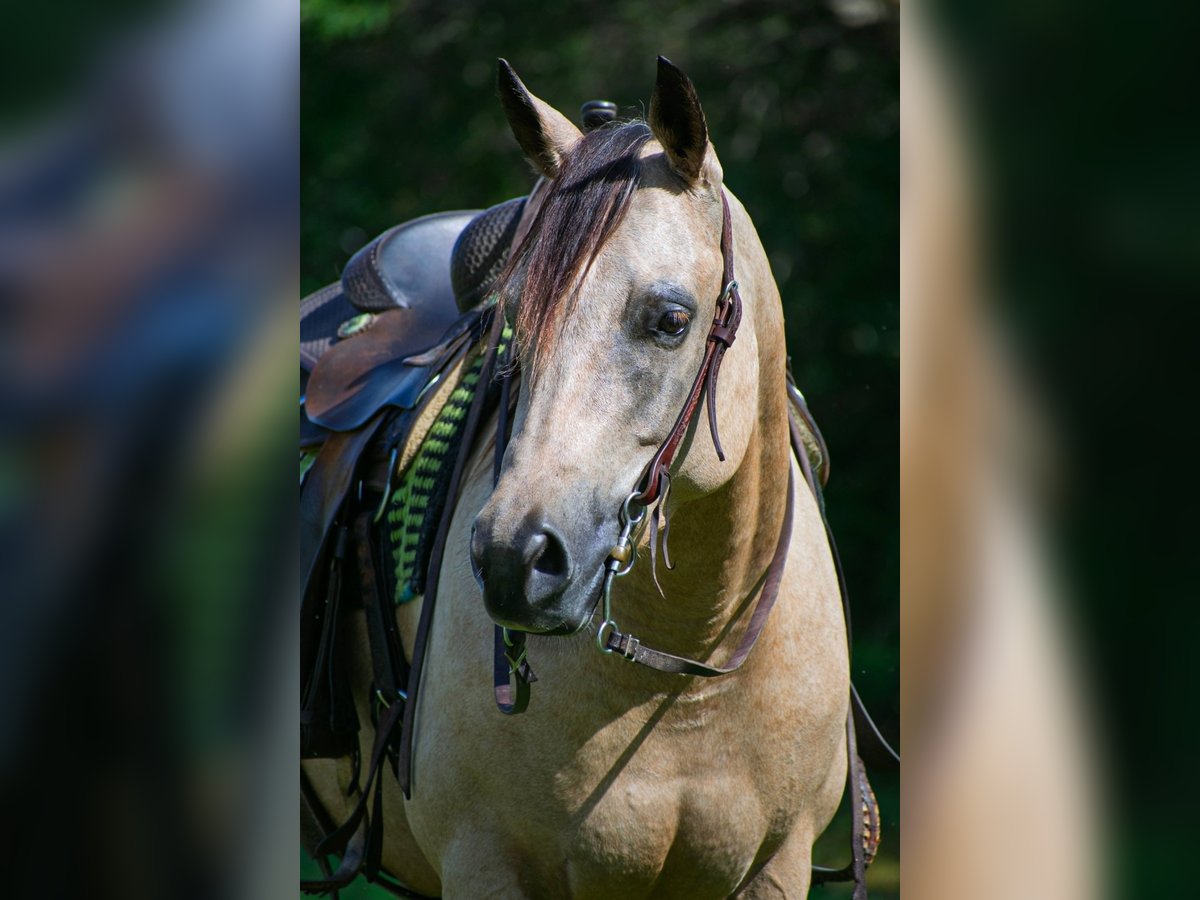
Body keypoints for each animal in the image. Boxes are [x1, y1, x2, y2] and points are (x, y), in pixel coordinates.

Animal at [302, 58, 864, 900]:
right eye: (512, 322)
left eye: (671, 320)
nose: (515, 560)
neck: (683, 678)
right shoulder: (486, 866)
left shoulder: (777, 867)